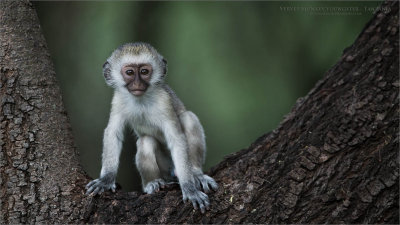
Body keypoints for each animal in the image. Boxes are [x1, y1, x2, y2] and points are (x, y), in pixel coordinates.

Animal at [86, 42, 219, 213]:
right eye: (130, 72)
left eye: (144, 72)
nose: (137, 84)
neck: (141, 100)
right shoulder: (118, 100)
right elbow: (113, 133)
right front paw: (106, 179)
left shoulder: (164, 101)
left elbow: (176, 139)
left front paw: (189, 189)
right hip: (165, 168)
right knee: (146, 141)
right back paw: (152, 183)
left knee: (188, 118)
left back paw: (196, 173)